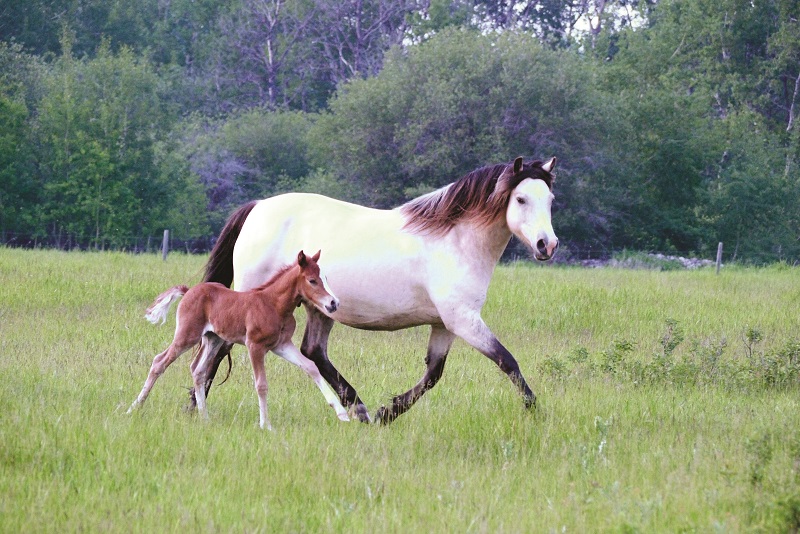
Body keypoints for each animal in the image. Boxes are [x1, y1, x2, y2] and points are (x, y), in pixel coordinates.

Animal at [128, 250, 350, 430]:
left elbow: (311, 367)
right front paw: (266, 425)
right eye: (312, 280)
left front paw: (342, 413)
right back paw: (133, 408)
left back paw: (205, 418)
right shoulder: (255, 346)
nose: (334, 303)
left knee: (198, 370)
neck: (274, 305)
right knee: (159, 361)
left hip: (213, 339)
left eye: (325, 278)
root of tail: (189, 290)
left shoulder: (282, 345)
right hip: (187, 335)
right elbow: (261, 384)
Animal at [194, 156, 558, 424]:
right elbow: (507, 361)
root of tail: (257, 207)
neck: (456, 241)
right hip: (252, 302)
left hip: (320, 307)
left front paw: (388, 413)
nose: (547, 245)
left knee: (313, 351)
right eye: (521, 199)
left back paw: (360, 409)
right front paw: (535, 410)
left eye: (551, 200)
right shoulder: (464, 320)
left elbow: (433, 373)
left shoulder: (444, 324)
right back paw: (194, 407)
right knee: (216, 348)